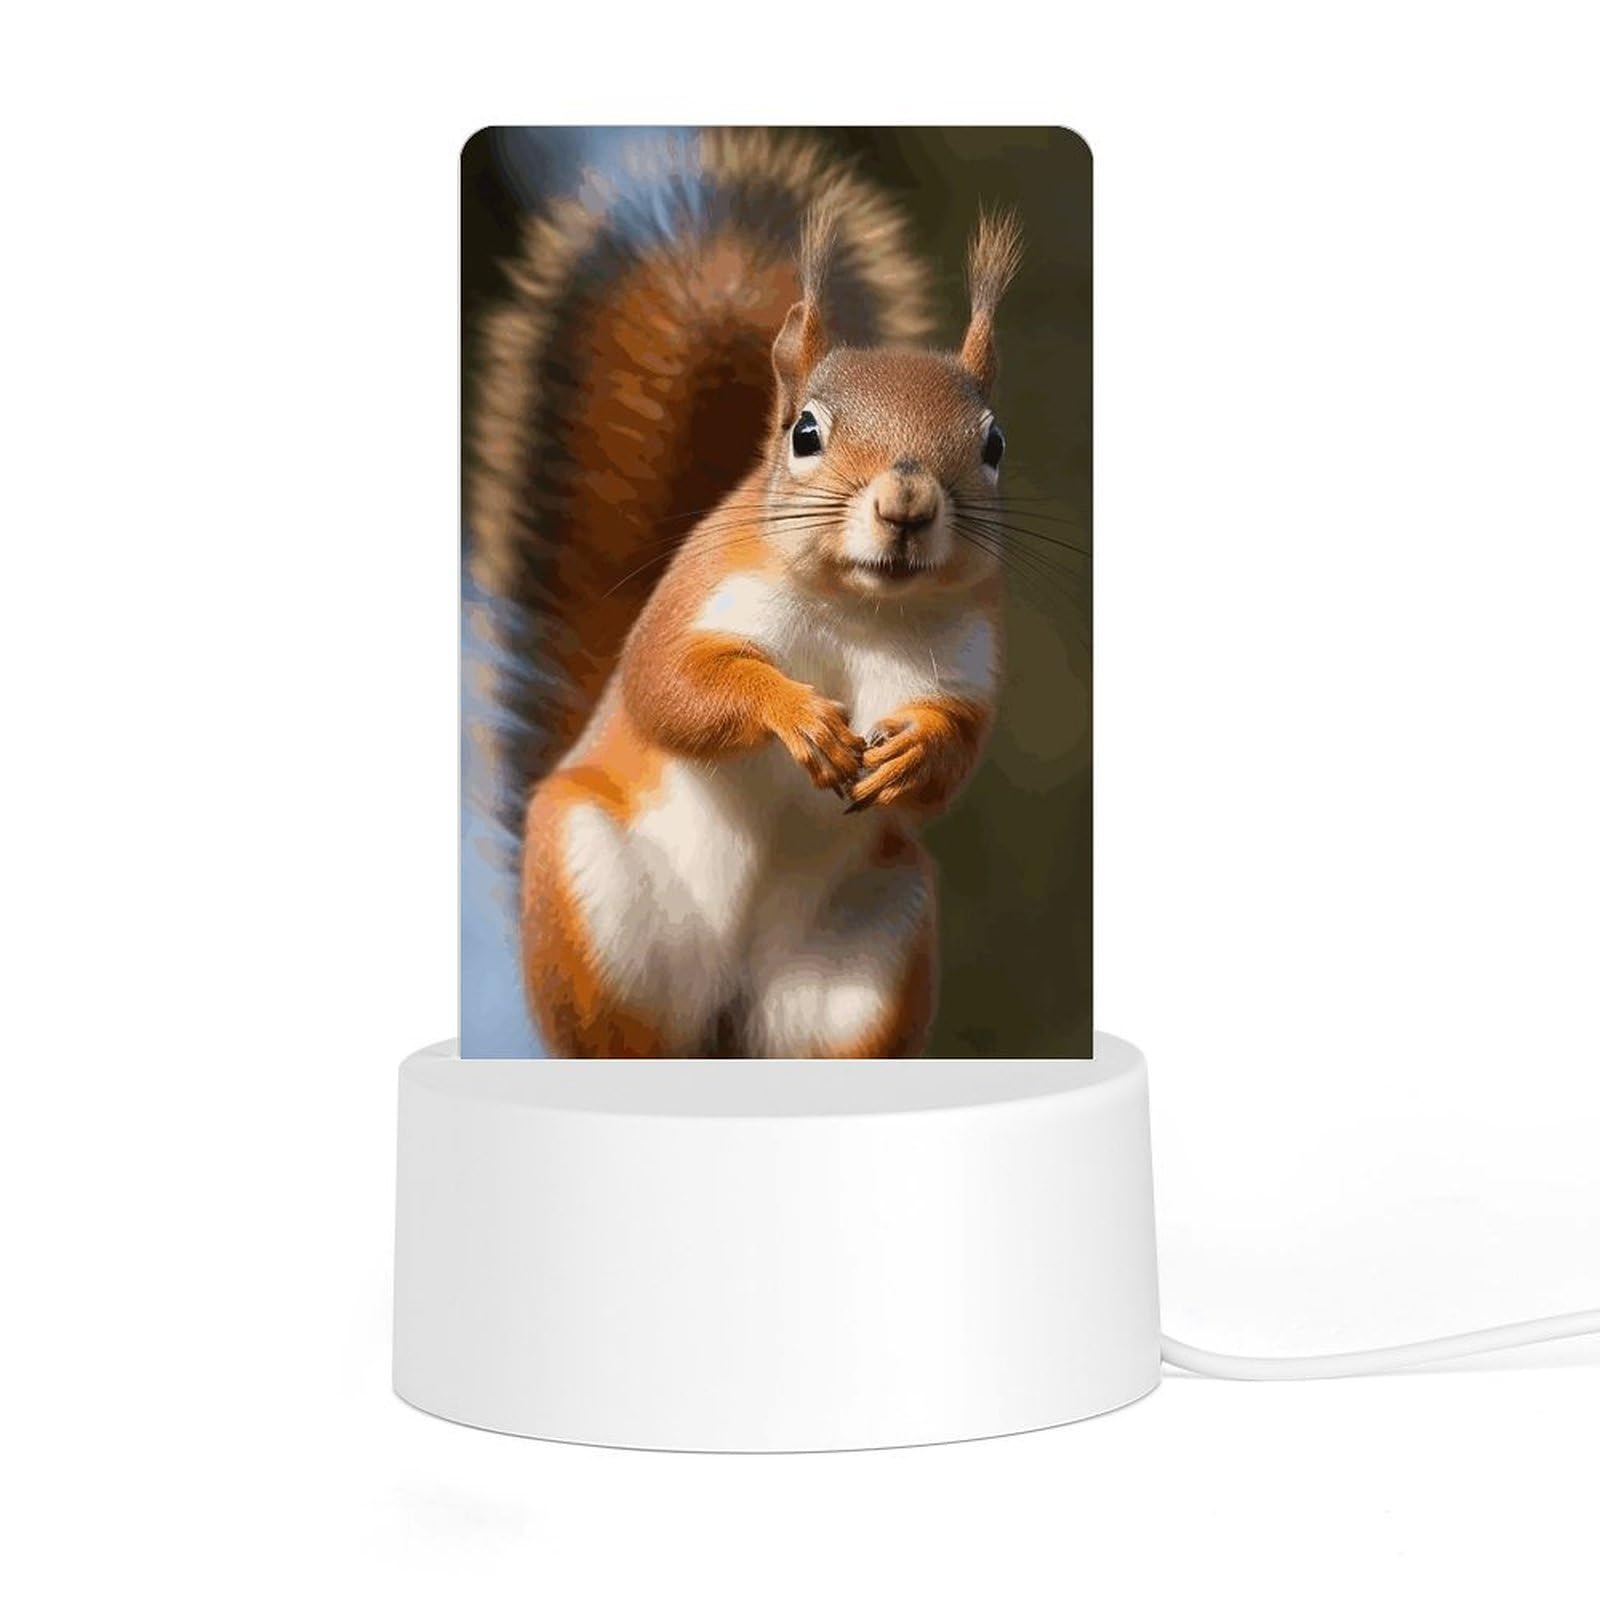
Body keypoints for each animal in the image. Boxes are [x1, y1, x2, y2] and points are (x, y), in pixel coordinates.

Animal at [469, 129, 1023, 1058]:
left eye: (994, 444)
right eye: (805, 433)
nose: (907, 506)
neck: (857, 607)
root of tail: (725, 1010)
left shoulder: (965, 654)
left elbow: (959, 751)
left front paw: (917, 749)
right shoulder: (700, 595)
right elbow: (669, 688)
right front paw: (795, 714)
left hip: (866, 955)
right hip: (596, 900)